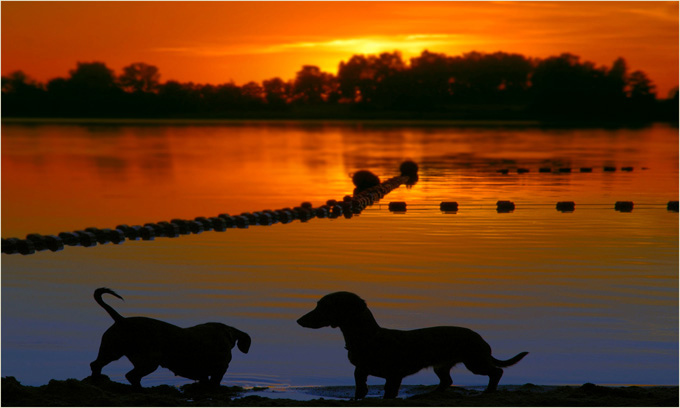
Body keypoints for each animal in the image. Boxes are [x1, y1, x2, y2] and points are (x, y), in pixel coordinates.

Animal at [89, 288, 251, 388]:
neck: (226, 334)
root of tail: (121, 320)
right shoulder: (219, 369)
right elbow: (215, 382)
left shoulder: (205, 374)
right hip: (149, 360)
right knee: (131, 375)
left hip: (110, 351)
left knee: (96, 365)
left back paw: (97, 380)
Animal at [296, 292, 524, 400]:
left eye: (323, 306)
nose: (298, 320)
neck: (369, 337)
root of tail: (481, 339)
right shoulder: (360, 371)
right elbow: (360, 387)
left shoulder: (394, 375)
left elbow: (389, 392)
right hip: (441, 365)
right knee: (447, 380)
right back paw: (431, 393)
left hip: (474, 361)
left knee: (496, 372)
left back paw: (489, 391)